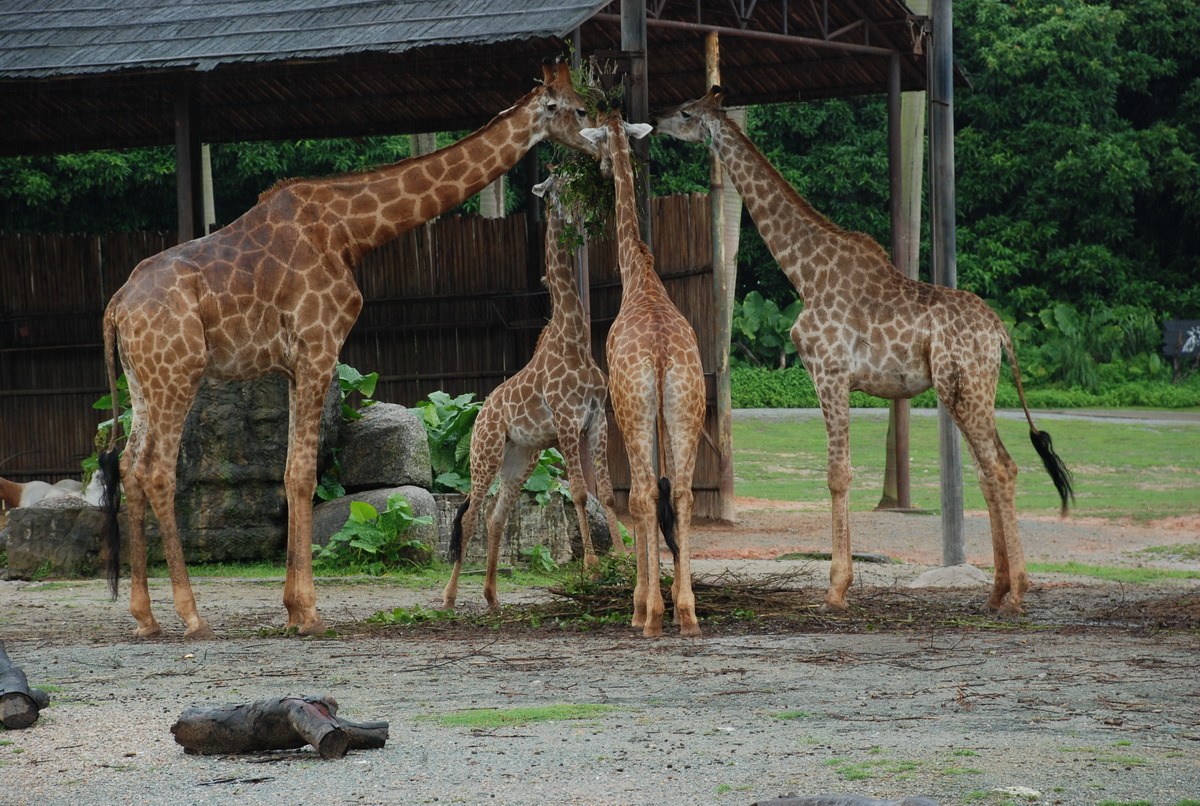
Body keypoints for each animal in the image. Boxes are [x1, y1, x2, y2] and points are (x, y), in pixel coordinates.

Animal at [96, 62, 600, 638]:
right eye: (576, 108)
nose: (604, 140)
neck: (349, 230)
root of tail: (116, 306)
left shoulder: (294, 364)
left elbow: (292, 471)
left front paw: (292, 609)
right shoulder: (319, 345)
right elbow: (302, 474)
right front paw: (310, 613)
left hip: (143, 381)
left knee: (129, 466)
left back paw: (145, 617)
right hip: (179, 373)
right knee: (157, 471)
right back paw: (191, 615)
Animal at [436, 170, 624, 611]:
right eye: (560, 184)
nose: (583, 208)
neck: (575, 339)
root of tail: (481, 412)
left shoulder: (597, 420)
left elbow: (607, 495)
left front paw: (626, 561)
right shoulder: (569, 422)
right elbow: (579, 494)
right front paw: (592, 568)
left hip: (521, 458)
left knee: (496, 516)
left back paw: (491, 596)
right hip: (484, 453)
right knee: (469, 515)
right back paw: (449, 597)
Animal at [652, 88, 1075, 614]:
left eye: (687, 111)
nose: (655, 118)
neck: (804, 272)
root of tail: (999, 330)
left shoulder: (828, 372)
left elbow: (838, 474)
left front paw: (836, 589)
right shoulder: (840, 380)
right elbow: (844, 472)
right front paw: (842, 584)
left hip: (966, 388)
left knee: (999, 467)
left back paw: (1016, 592)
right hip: (970, 390)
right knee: (993, 468)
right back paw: (997, 590)